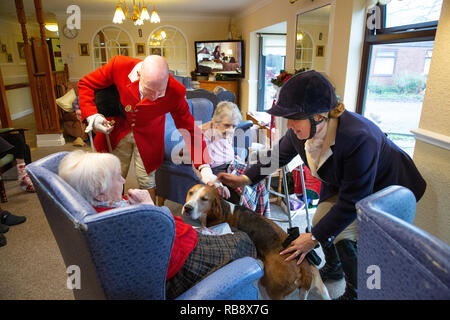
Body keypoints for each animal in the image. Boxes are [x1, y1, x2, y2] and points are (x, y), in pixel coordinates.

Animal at [181, 184, 332, 302]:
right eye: (190, 193)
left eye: (204, 199)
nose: (187, 208)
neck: (222, 209)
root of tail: (303, 266)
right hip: (321, 288)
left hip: (268, 289)